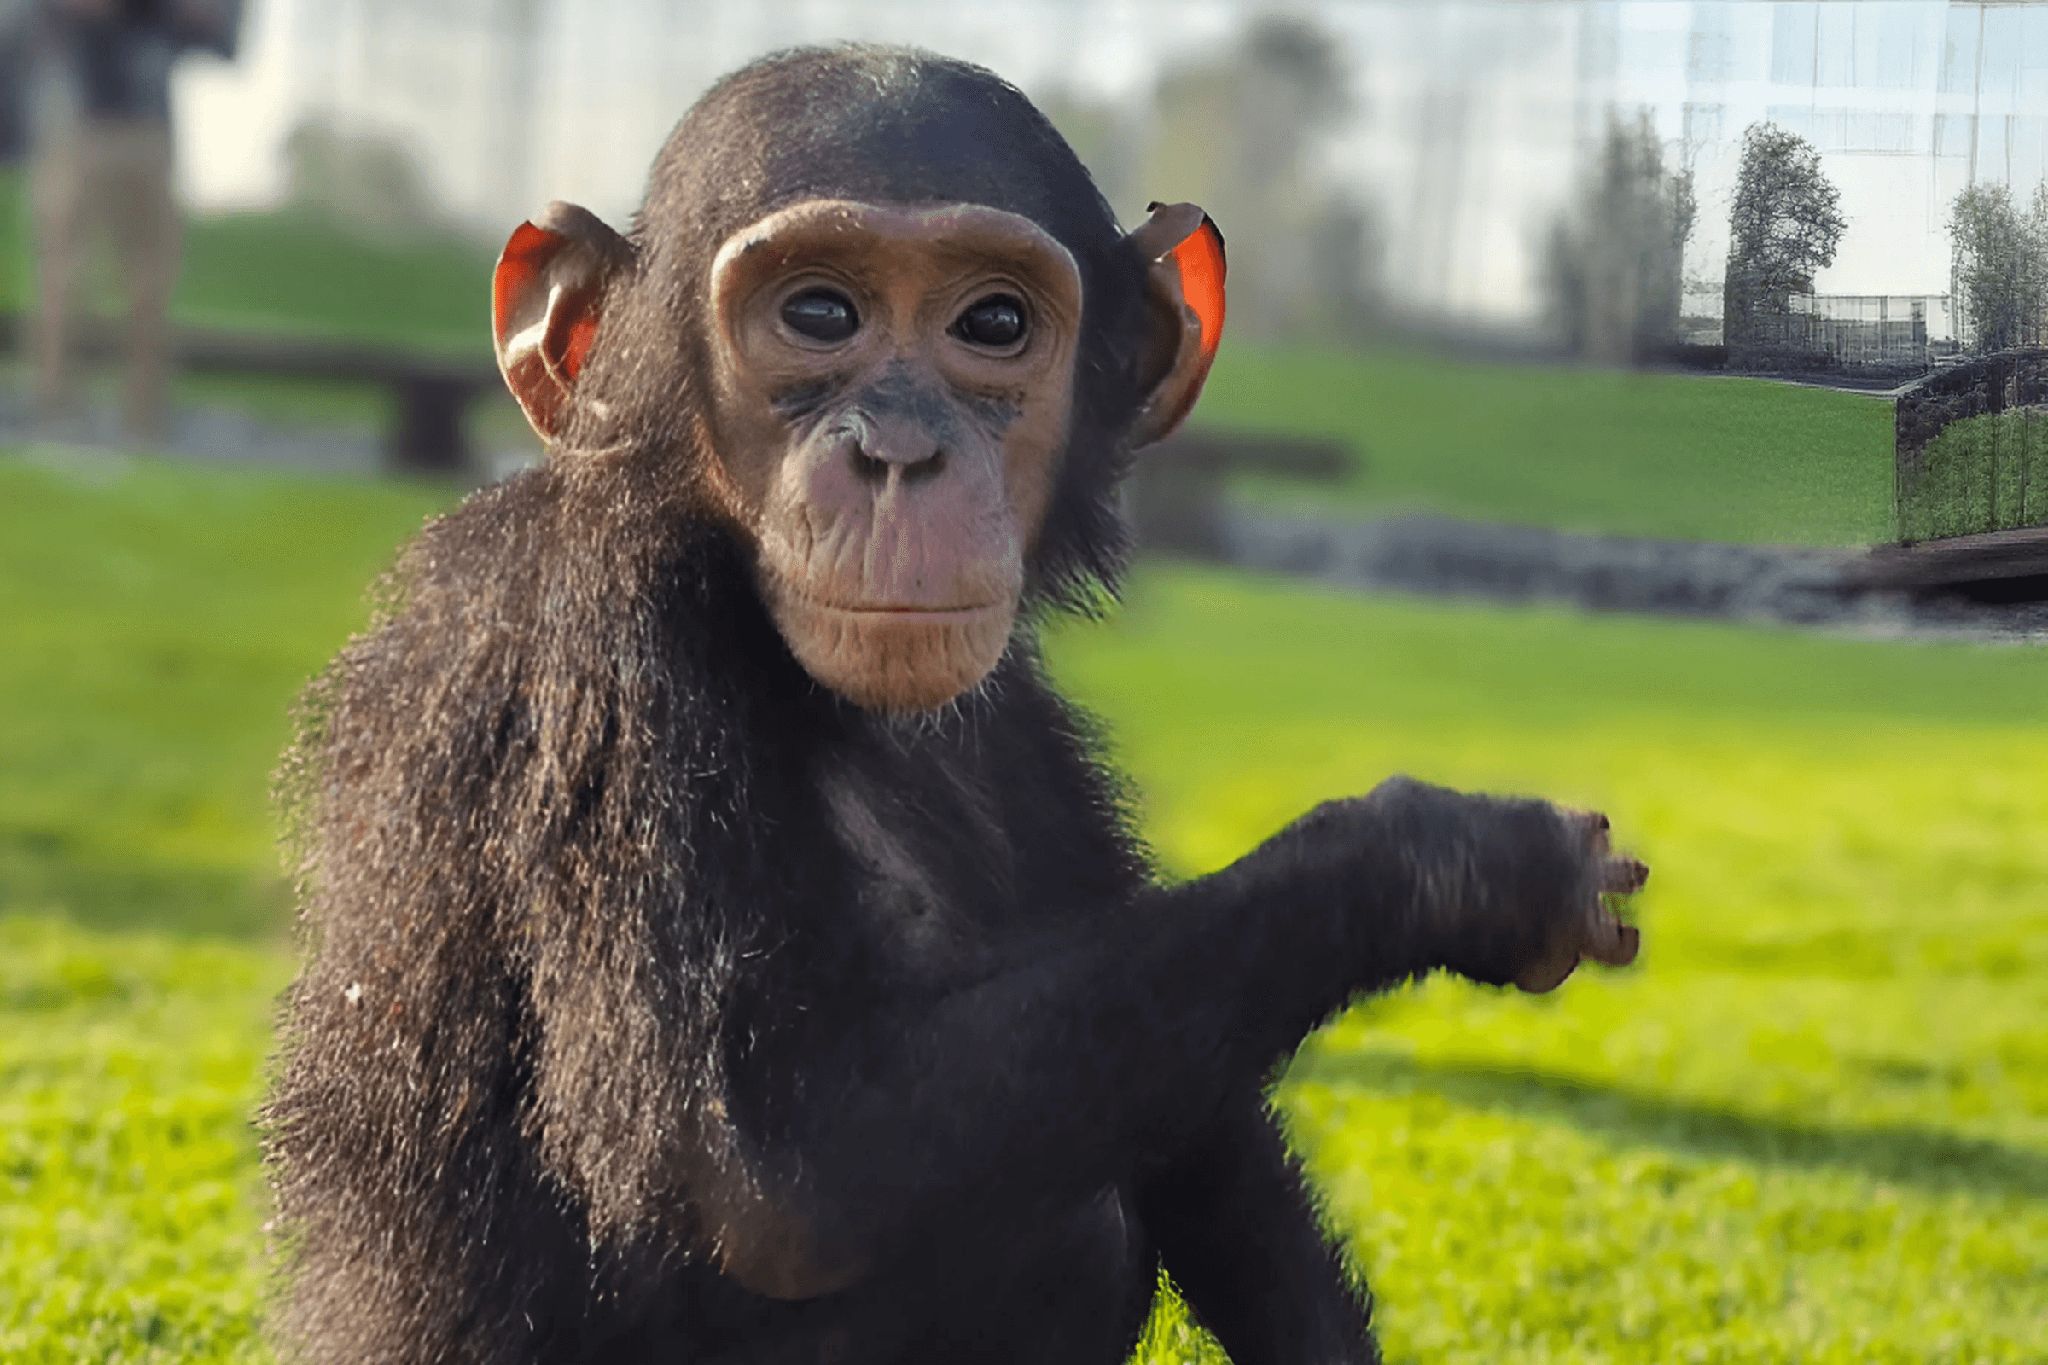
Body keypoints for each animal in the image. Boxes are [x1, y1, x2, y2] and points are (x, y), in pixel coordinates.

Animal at [263, 44, 1645, 1365]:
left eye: (991, 323)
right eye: (816, 312)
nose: (900, 449)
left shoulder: (1023, 716)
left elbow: (1206, 1139)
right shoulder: (592, 652)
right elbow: (781, 1170)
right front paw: (1452, 858)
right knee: (1062, 1233)